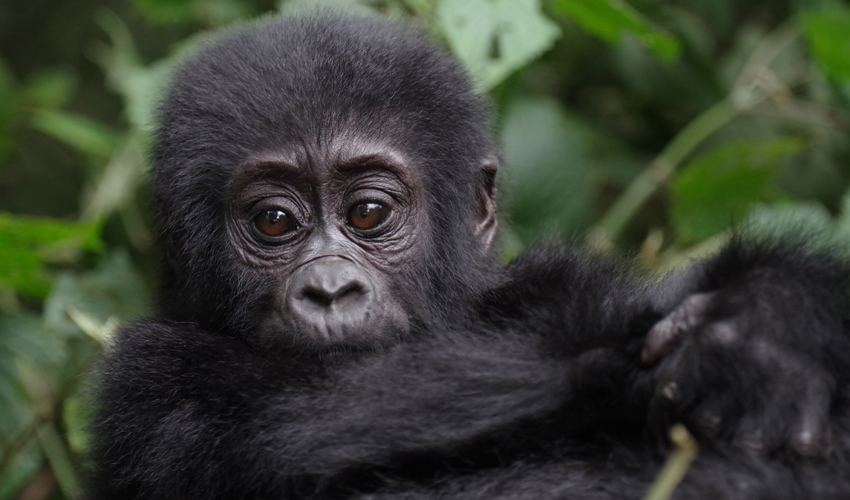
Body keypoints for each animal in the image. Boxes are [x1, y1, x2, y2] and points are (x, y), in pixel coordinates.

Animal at [89, 12, 848, 500]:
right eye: (275, 222)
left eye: (368, 214)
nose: (330, 290)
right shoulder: (143, 381)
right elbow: (292, 432)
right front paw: (640, 361)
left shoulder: (543, 280)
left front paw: (769, 314)